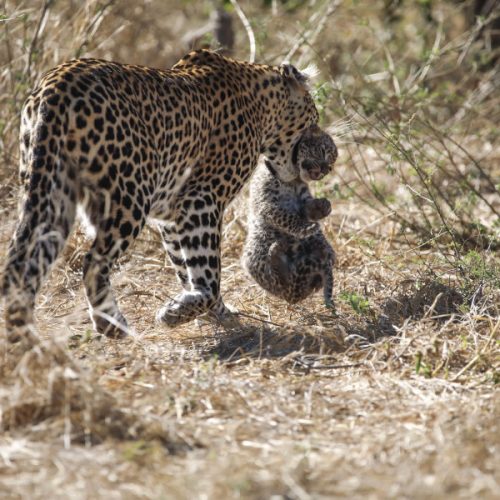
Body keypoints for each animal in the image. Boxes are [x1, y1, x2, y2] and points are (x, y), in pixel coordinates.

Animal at [1, 48, 326, 344]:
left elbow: (187, 267)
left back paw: (24, 338)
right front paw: (179, 312)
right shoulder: (201, 200)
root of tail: (54, 89)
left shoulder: (172, 215)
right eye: (314, 116)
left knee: (22, 261)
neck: (262, 104)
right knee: (93, 261)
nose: (318, 162)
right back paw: (112, 325)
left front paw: (212, 314)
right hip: (128, 197)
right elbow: (208, 273)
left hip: (51, 193)